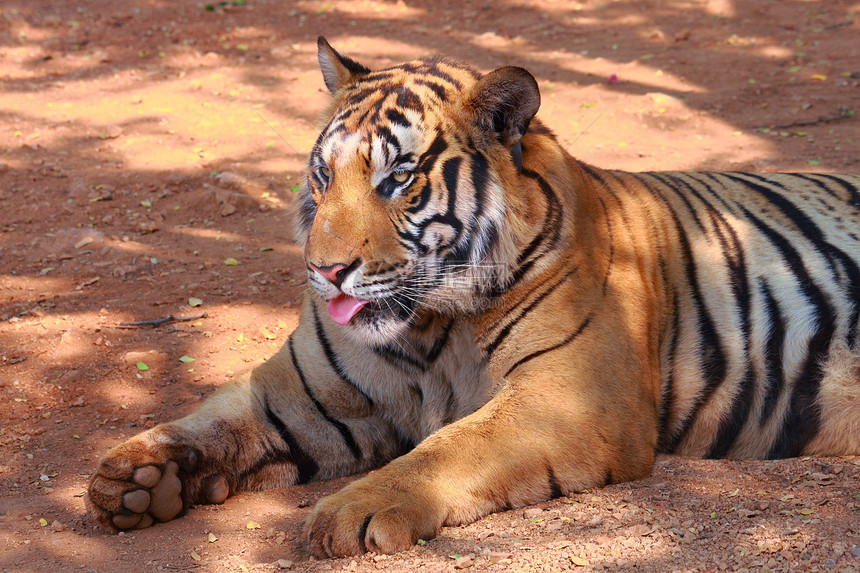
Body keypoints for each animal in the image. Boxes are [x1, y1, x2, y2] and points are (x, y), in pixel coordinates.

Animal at [89, 38, 860, 556]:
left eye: (397, 178)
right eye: (322, 175)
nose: (325, 270)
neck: (428, 328)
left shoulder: (570, 397)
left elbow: (449, 447)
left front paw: (350, 513)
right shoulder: (304, 399)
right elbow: (215, 417)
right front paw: (132, 478)